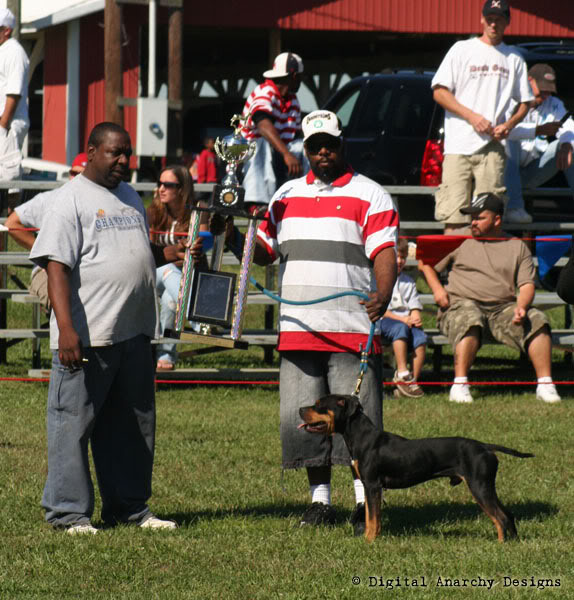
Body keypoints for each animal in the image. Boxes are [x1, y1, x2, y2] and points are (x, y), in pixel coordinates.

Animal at [300, 394, 536, 544]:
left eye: (319, 404)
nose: (301, 409)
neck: (361, 436)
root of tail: (485, 446)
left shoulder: (373, 485)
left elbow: (373, 518)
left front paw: (369, 541)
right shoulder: (368, 487)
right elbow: (369, 517)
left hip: (479, 487)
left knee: (501, 517)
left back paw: (501, 545)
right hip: (485, 487)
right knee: (508, 515)